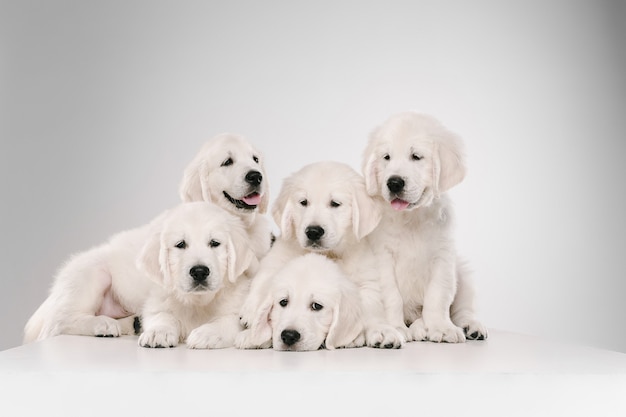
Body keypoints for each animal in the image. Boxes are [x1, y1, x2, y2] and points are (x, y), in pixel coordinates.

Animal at [136, 202, 254, 348]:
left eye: (214, 243)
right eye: (180, 244)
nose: (199, 272)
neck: (198, 302)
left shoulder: (237, 309)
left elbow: (227, 321)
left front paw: (206, 333)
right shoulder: (156, 303)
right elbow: (162, 315)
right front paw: (158, 332)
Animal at [360, 110, 488, 342]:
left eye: (416, 156)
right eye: (386, 157)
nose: (393, 183)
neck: (412, 218)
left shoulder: (442, 257)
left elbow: (437, 296)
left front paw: (441, 327)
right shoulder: (381, 257)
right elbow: (391, 296)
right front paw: (395, 327)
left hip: (462, 273)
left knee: (463, 309)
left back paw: (469, 326)